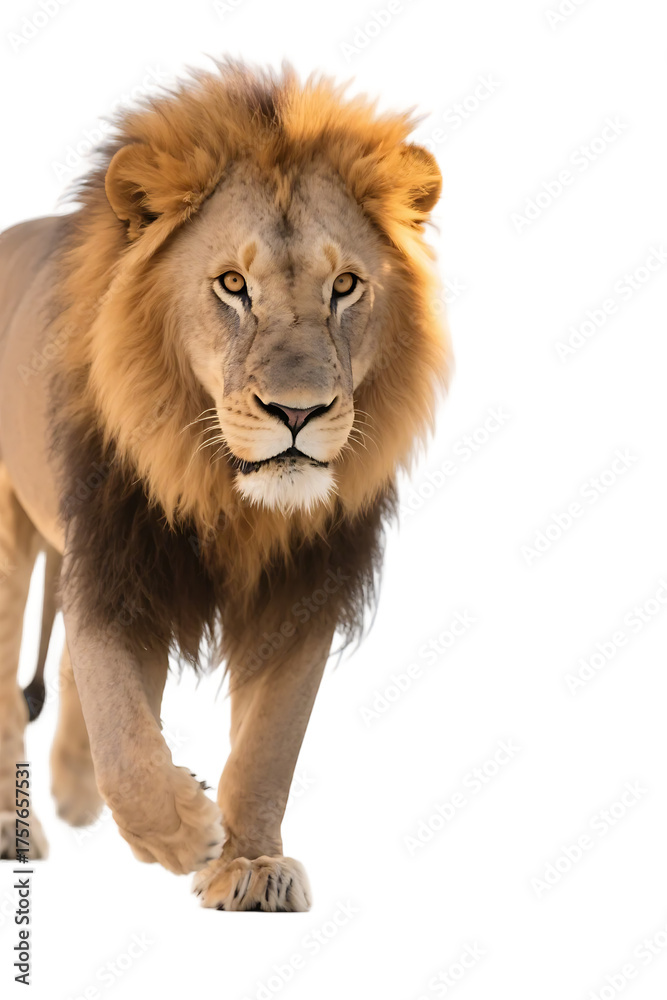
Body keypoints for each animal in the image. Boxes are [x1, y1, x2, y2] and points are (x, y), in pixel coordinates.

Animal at [0, 60, 451, 910]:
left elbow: (271, 741)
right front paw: (182, 832)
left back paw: (74, 793)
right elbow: (123, 729)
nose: (297, 412)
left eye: (345, 285)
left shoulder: (306, 587)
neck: (225, 494)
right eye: (233, 285)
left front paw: (249, 862)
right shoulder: (115, 563)